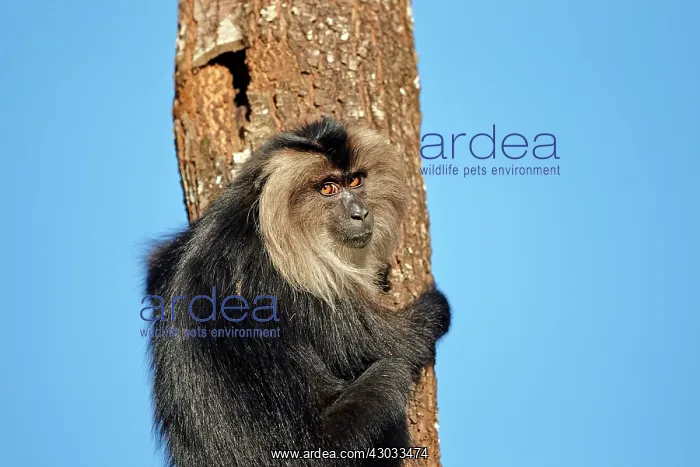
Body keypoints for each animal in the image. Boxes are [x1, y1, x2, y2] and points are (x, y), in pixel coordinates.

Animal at [144, 116, 451, 467]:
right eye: (328, 188)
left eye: (355, 180)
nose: (360, 213)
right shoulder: (292, 284)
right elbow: (394, 344)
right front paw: (435, 307)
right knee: (390, 375)